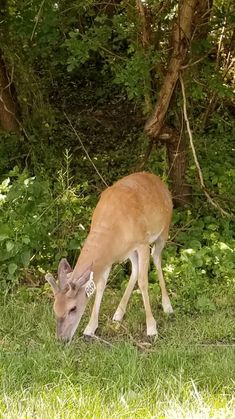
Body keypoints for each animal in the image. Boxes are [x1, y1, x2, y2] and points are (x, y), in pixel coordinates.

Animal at [45, 172, 173, 342]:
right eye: (55, 308)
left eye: (73, 308)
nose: (62, 339)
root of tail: (158, 179)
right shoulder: (110, 258)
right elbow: (100, 285)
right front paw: (89, 328)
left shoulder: (142, 243)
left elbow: (143, 282)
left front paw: (152, 328)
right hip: (130, 251)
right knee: (135, 269)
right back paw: (118, 313)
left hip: (163, 231)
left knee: (157, 258)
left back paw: (167, 306)